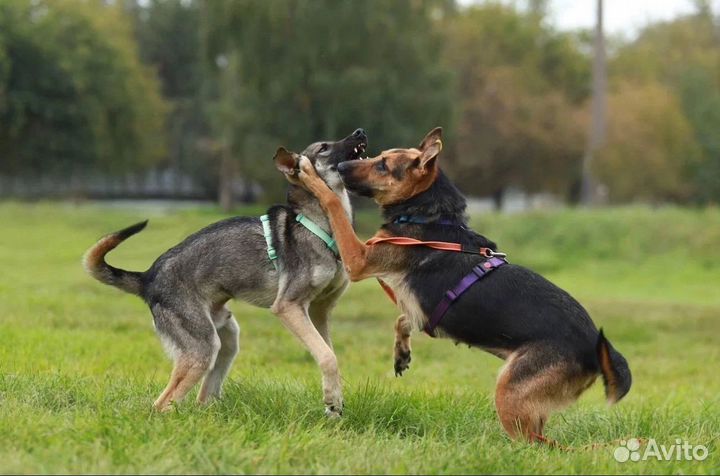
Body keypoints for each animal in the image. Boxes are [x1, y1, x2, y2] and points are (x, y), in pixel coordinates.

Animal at [82, 128, 368, 414]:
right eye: (323, 148)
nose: (360, 132)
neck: (316, 224)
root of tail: (148, 277)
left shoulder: (320, 310)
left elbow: (328, 353)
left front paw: (334, 401)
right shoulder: (288, 306)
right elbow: (327, 356)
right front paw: (332, 400)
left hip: (227, 338)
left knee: (202, 396)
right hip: (202, 349)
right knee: (162, 404)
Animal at [296, 126, 632, 442]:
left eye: (382, 165)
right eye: (378, 157)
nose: (341, 167)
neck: (429, 217)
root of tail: (594, 343)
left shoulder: (359, 258)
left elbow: (334, 206)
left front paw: (311, 177)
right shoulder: (413, 305)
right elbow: (404, 319)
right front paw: (402, 352)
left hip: (510, 394)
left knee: (538, 444)